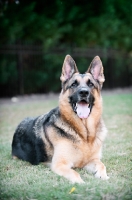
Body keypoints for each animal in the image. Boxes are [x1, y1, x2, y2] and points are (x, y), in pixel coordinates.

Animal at [11, 54, 109, 183]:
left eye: (91, 84)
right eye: (74, 84)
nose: (84, 92)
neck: (84, 135)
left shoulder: (91, 161)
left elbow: (102, 164)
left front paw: (103, 175)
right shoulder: (60, 164)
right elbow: (74, 173)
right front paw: (81, 183)